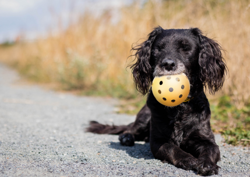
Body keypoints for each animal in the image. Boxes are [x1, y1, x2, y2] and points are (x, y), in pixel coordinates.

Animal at [87, 26, 228, 176]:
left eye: (186, 48)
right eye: (159, 48)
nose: (168, 64)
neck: (179, 107)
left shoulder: (206, 139)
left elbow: (210, 150)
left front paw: (207, 165)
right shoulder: (158, 141)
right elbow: (173, 149)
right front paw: (189, 160)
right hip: (145, 116)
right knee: (130, 129)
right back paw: (127, 137)